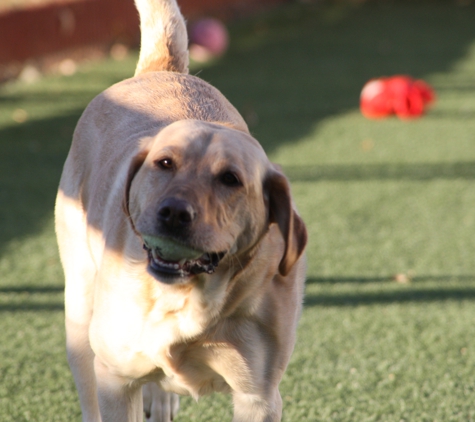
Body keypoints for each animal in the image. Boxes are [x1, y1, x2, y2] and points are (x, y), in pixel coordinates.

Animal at [55, 0, 308, 422]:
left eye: (230, 179)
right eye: (164, 163)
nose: (173, 212)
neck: (189, 300)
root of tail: (161, 70)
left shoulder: (258, 396)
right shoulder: (115, 381)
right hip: (79, 311)